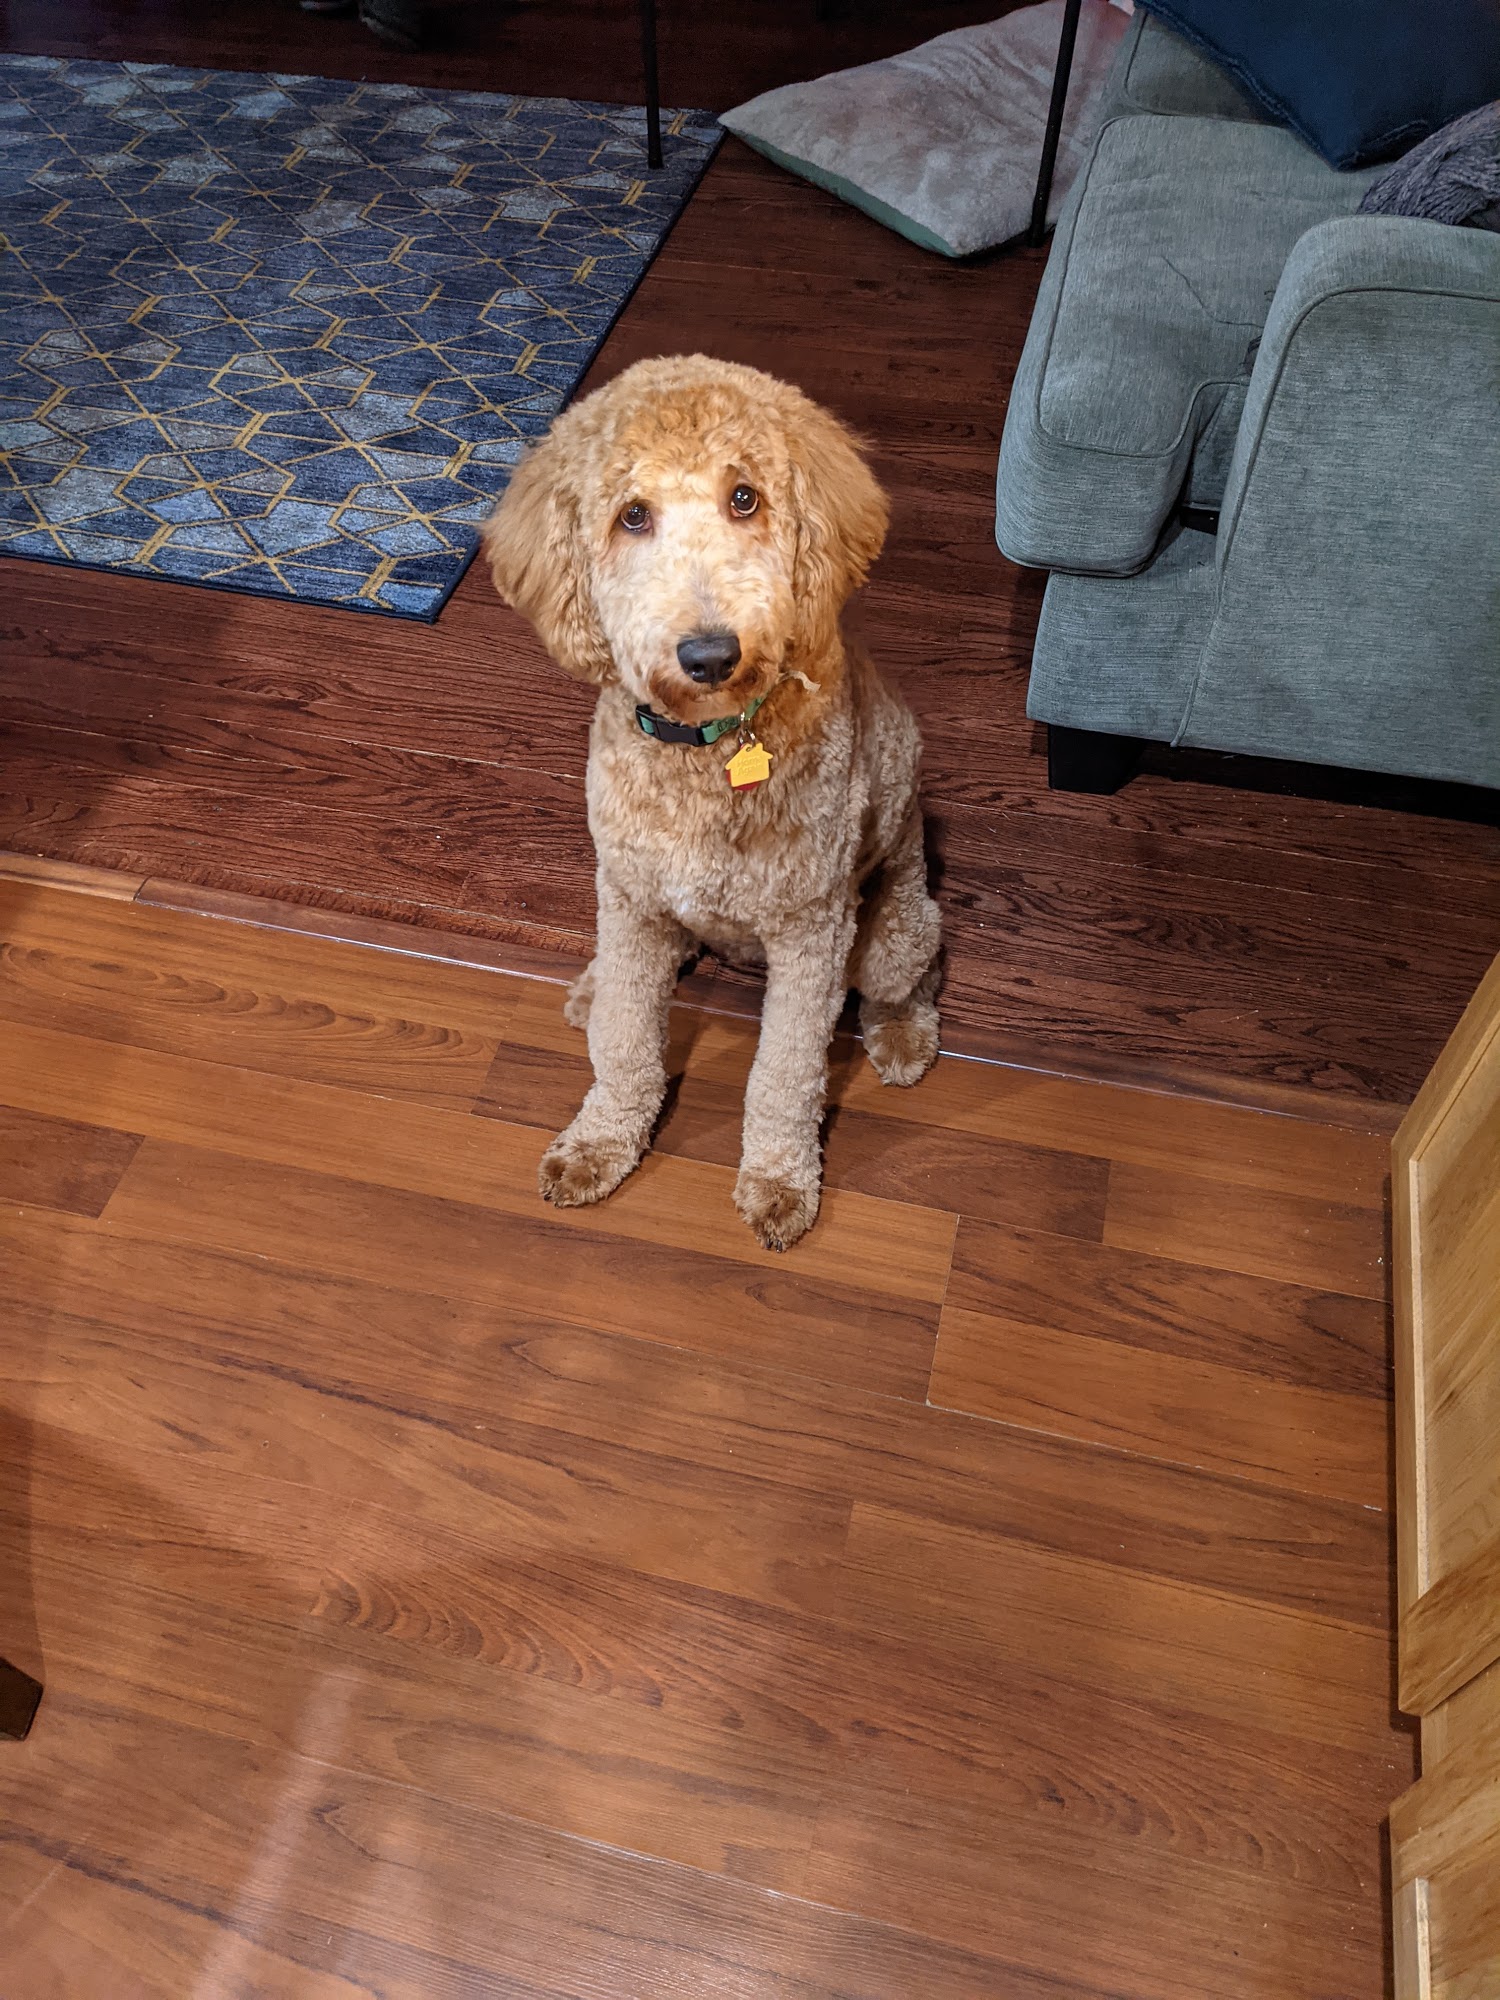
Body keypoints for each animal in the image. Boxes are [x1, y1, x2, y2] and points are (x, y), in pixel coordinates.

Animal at [482, 354, 941, 1251]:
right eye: (632, 515)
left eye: (745, 498)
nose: (708, 653)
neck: (706, 751)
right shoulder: (629, 896)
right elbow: (626, 1045)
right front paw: (601, 1141)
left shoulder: (810, 932)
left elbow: (784, 1076)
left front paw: (778, 1180)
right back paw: (593, 987)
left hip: (890, 922)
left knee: (912, 971)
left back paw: (902, 1032)